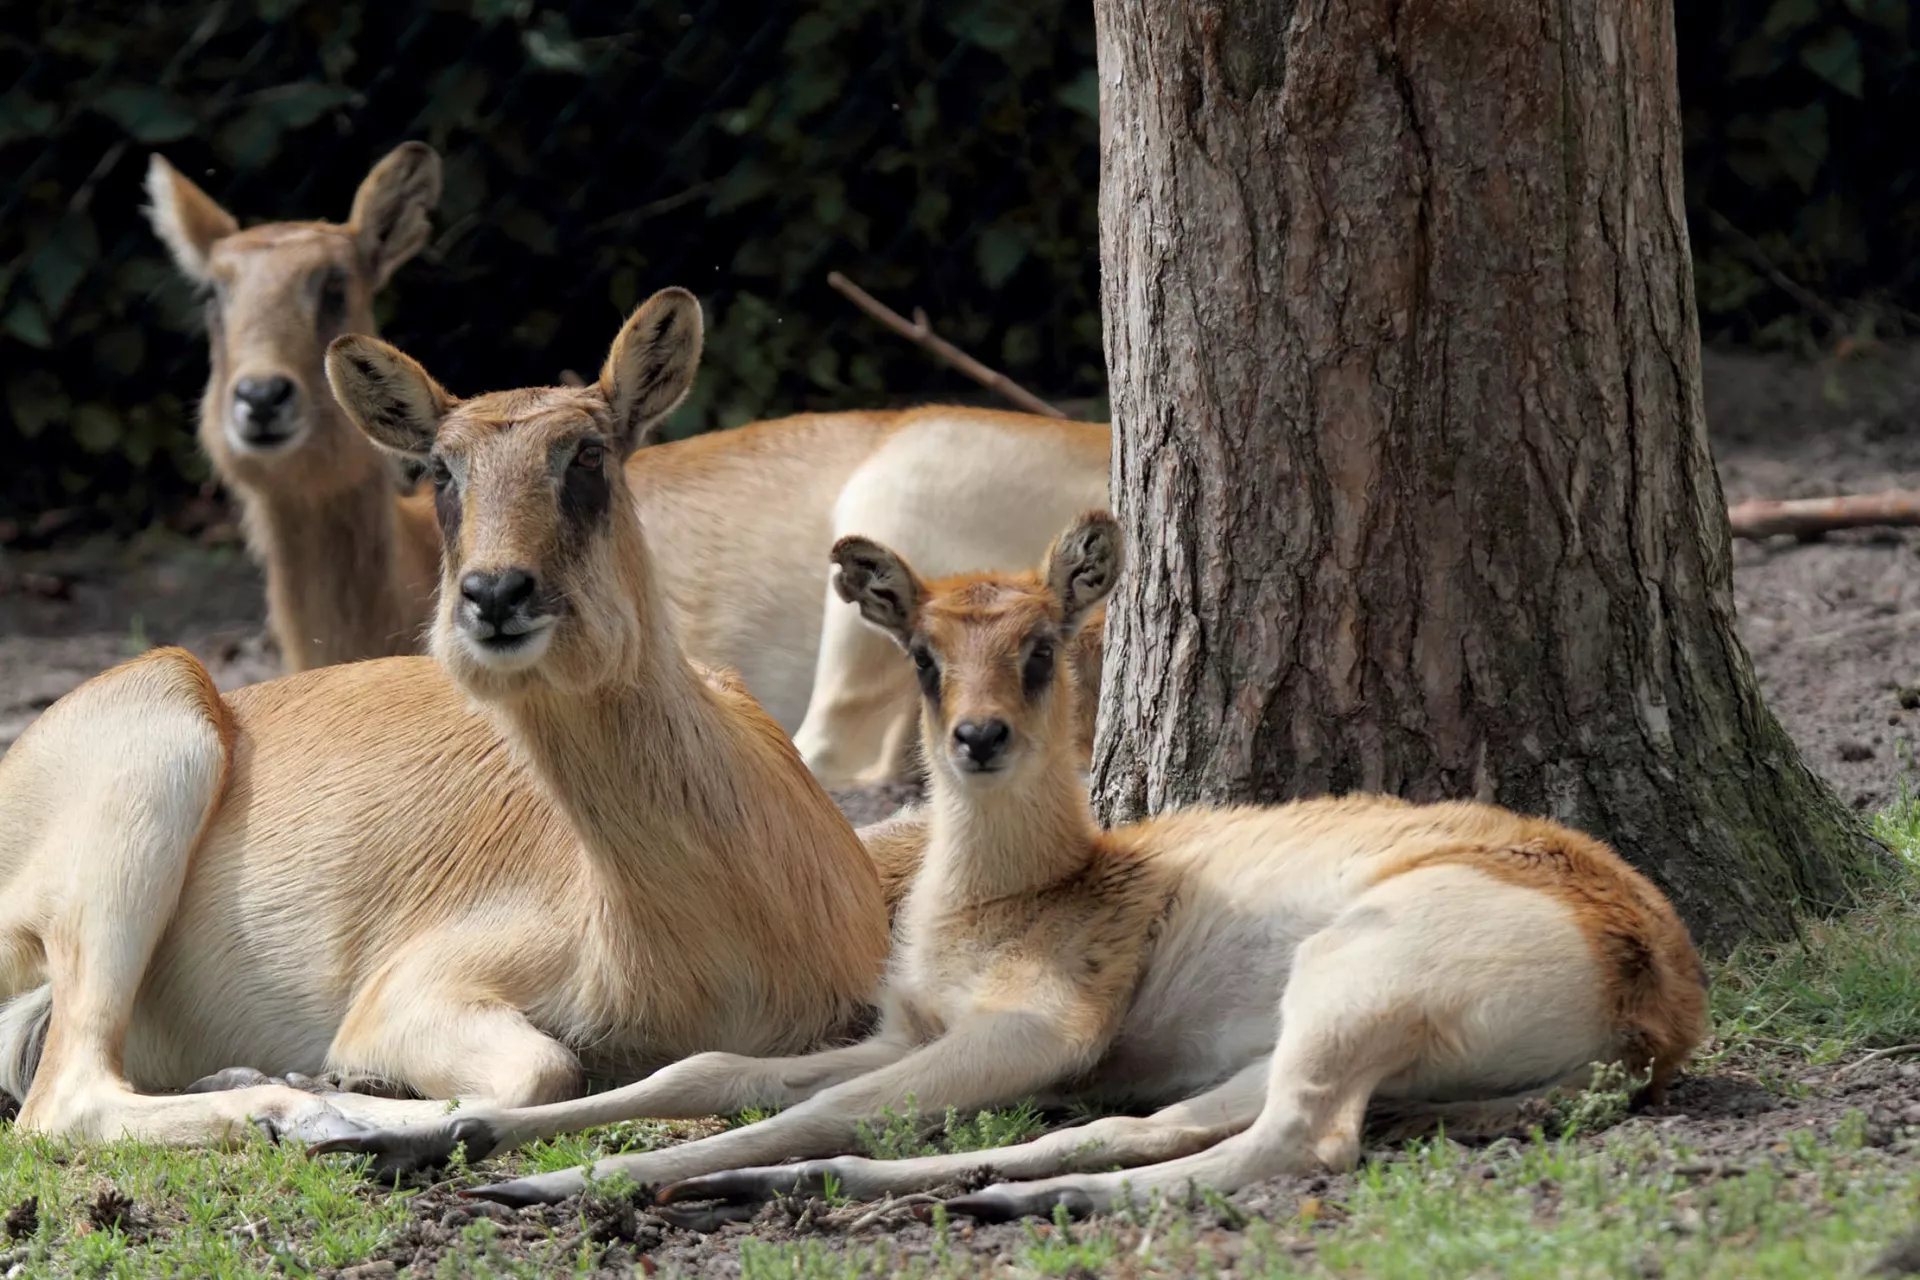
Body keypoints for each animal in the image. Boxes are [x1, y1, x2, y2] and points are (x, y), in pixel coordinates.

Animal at [0, 293, 887, 1151]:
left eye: (588, 453)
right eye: (441, 469)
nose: (495, 593)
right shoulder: (408, 992)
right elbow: (544, 1070)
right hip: (150, 777)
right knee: (64, 1101)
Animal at [311, 510, 1712, 1220]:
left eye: (1043, 645)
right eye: (926, 653)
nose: (976, 737)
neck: (1010, 893)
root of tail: (1658, 993)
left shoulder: (1033, 1026)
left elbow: (796, 1096)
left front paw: (561, 1178)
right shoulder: (904, 1025)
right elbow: (709, 1069)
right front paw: (415, 1139)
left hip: (1351, 982)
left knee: (1291, 1145)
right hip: (1302, 1028)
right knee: (1160, 1123)